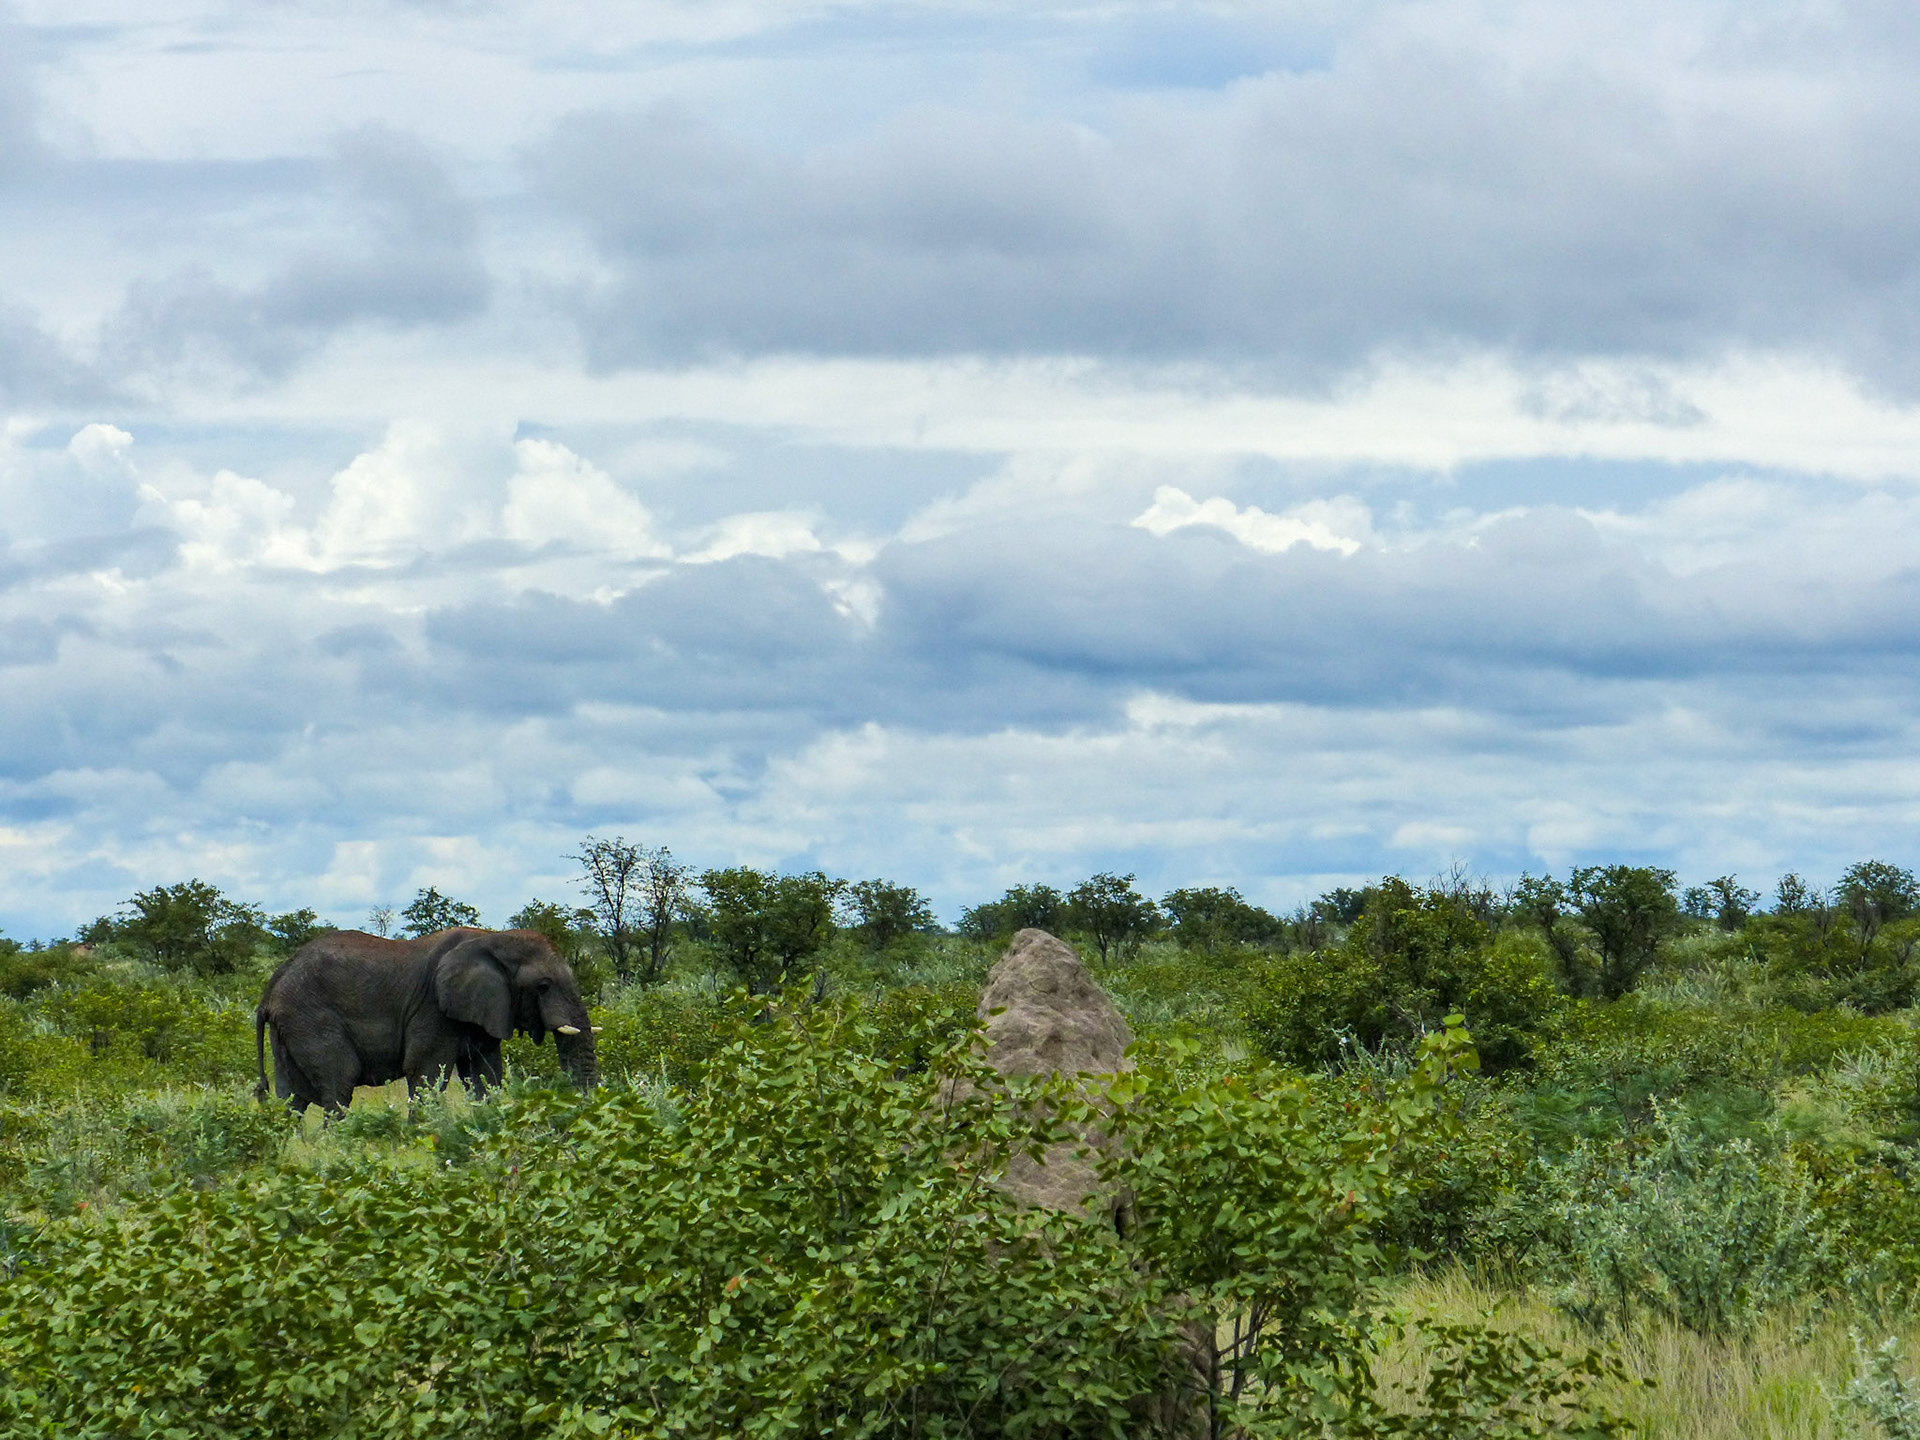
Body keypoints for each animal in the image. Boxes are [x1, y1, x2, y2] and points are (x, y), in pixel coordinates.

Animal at [255, 926, 599, 1112]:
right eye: (543, 986)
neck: (493, 938)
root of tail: (271, 988)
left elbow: (486, 1073)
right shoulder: (432, 1008)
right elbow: (425, 1071)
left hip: (289, 1027)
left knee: (291, 1099)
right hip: (310, 1018)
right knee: (339, 1082)